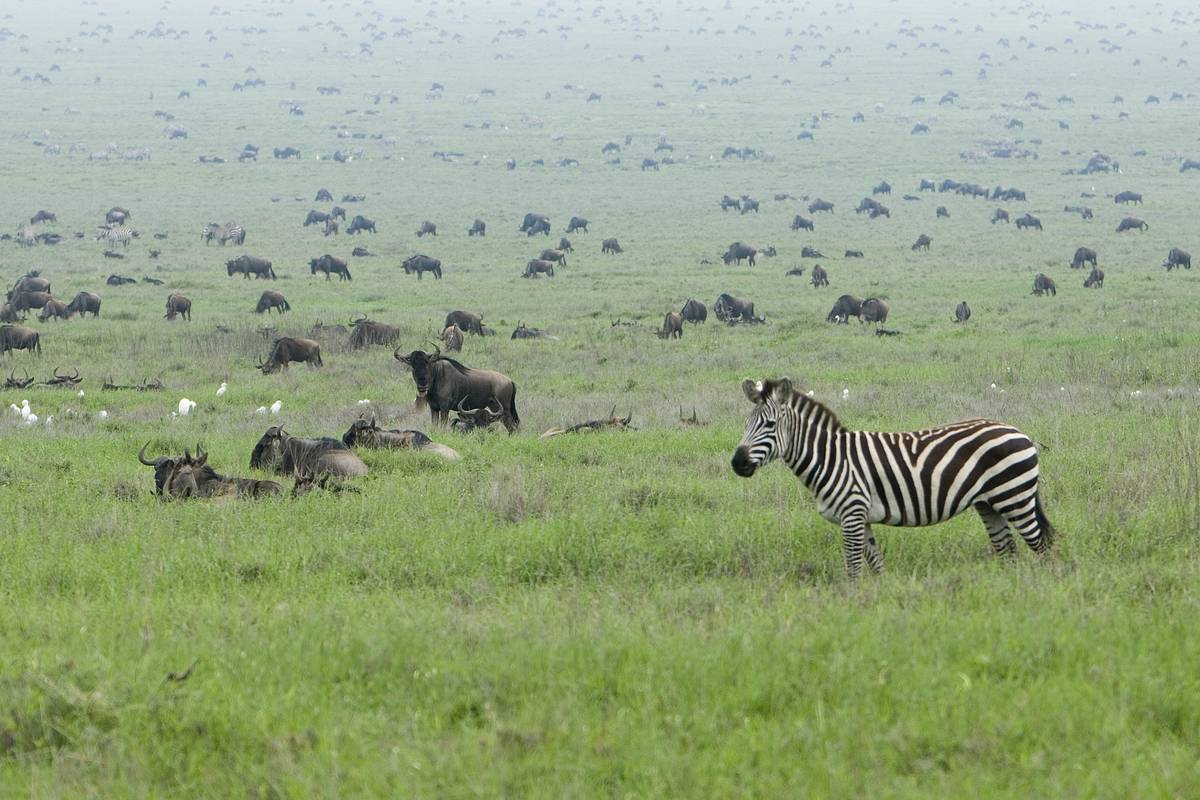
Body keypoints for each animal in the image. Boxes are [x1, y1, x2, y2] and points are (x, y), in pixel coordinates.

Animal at [731, 378, 1053, 577]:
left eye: (770, 424)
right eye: (746, 424)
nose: (737, 463)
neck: (831, 458)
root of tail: (1019, 432)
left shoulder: (852, 513)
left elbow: (852, 568)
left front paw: (851, 604)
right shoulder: (861, 518)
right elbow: (875, 565)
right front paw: (878, 600)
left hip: (1015, 497)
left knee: (1042, 547)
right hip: (989, 504)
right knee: (1008, 551)